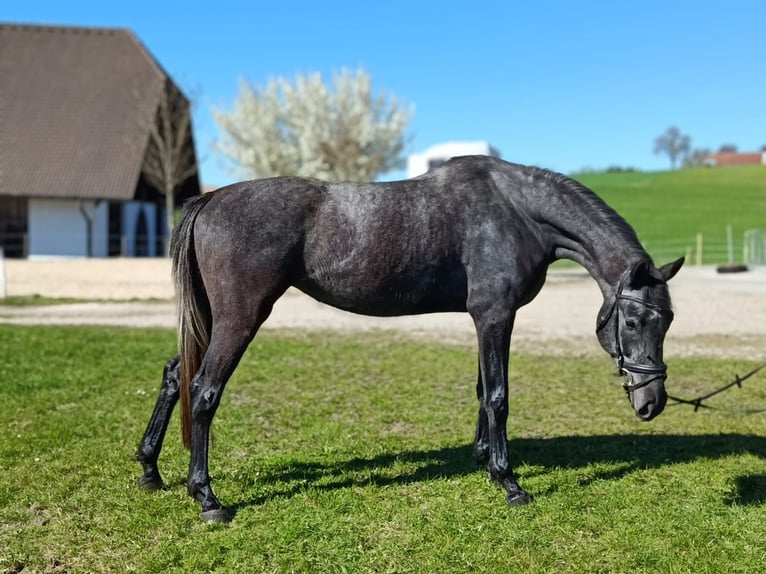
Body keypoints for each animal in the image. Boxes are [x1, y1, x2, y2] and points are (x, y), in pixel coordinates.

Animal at [136, 155, 684, 523]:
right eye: (634, 322)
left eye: (668, 320)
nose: (652, 402)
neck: (515, 209)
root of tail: (212, 198)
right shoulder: (495, 316)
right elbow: (499, 396)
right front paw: (508, 481)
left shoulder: (482, 318)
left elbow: (482, 391)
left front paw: (482, 460)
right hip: (240, 319)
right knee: (204, 391)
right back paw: (207, 497)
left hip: (211, 320)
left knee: (175, 376)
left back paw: (149, 470)